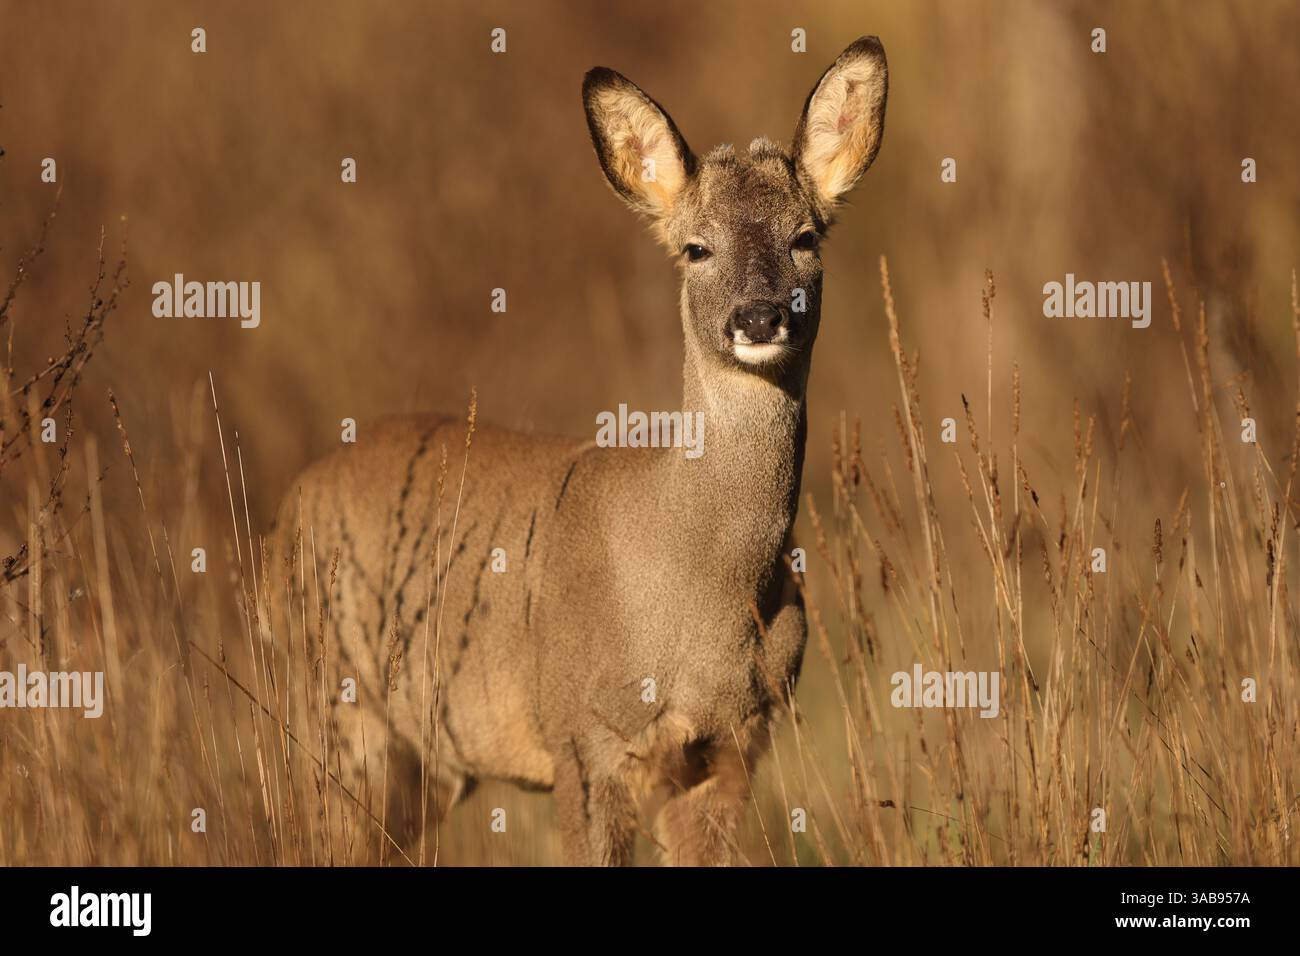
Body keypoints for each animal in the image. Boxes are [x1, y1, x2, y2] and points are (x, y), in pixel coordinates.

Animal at [269, 36, 888, 865]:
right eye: (696, 247)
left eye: (806, 237)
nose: (758, 317)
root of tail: (281, 521)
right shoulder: (580, 735)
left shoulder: (736, 744)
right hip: (334, 710)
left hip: (423, 765)